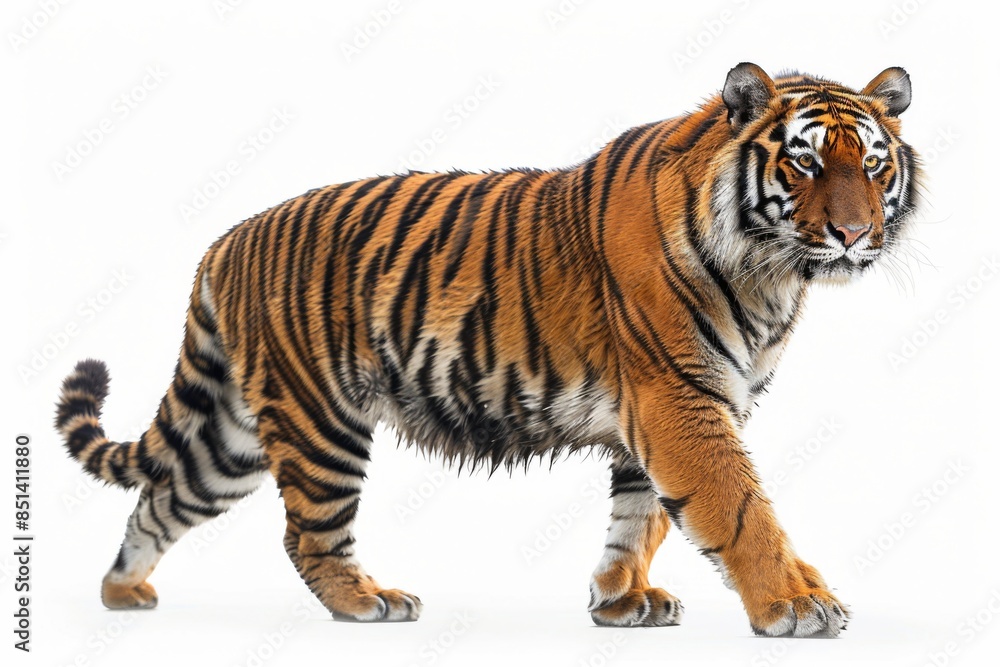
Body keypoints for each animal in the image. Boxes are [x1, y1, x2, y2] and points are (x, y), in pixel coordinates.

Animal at [56, 62, 919, 637]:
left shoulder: (662, 411)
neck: (772, 275)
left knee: (164, 496)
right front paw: (797, 603)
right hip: (317, 418)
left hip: (236, 433)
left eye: (874, 165)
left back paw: (122, 591)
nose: (854, 233)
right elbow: (737, 507)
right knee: (306, 533)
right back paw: (368, 601)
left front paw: (620, 599)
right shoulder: (680, 397)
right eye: (805, 162)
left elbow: (640, 516)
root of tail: (228, 237)